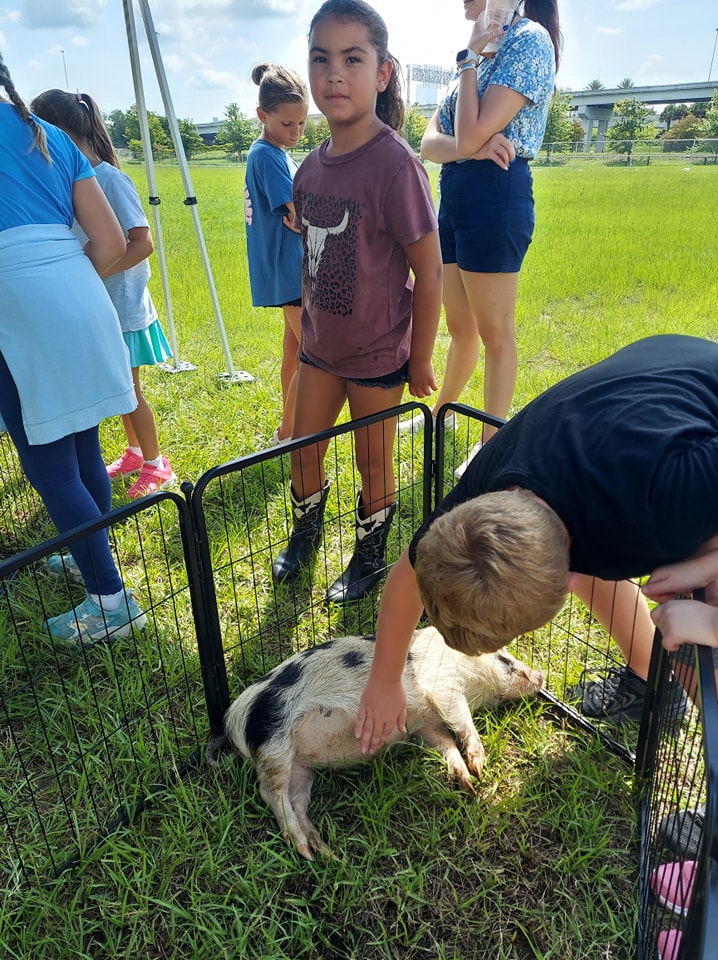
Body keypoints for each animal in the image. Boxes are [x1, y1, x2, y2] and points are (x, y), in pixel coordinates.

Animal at [208, 628, 544, 860]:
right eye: (505, 660)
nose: (541, 675)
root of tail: (231, 722)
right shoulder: (442, 685)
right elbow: (461, 719)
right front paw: (480, 767)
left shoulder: (425, 723)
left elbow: (445, 741)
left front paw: (468, 784)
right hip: (273, 741)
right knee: (270, 792)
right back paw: (302, 847)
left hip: (300, 768)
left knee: (296, 801)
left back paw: (324, 851)